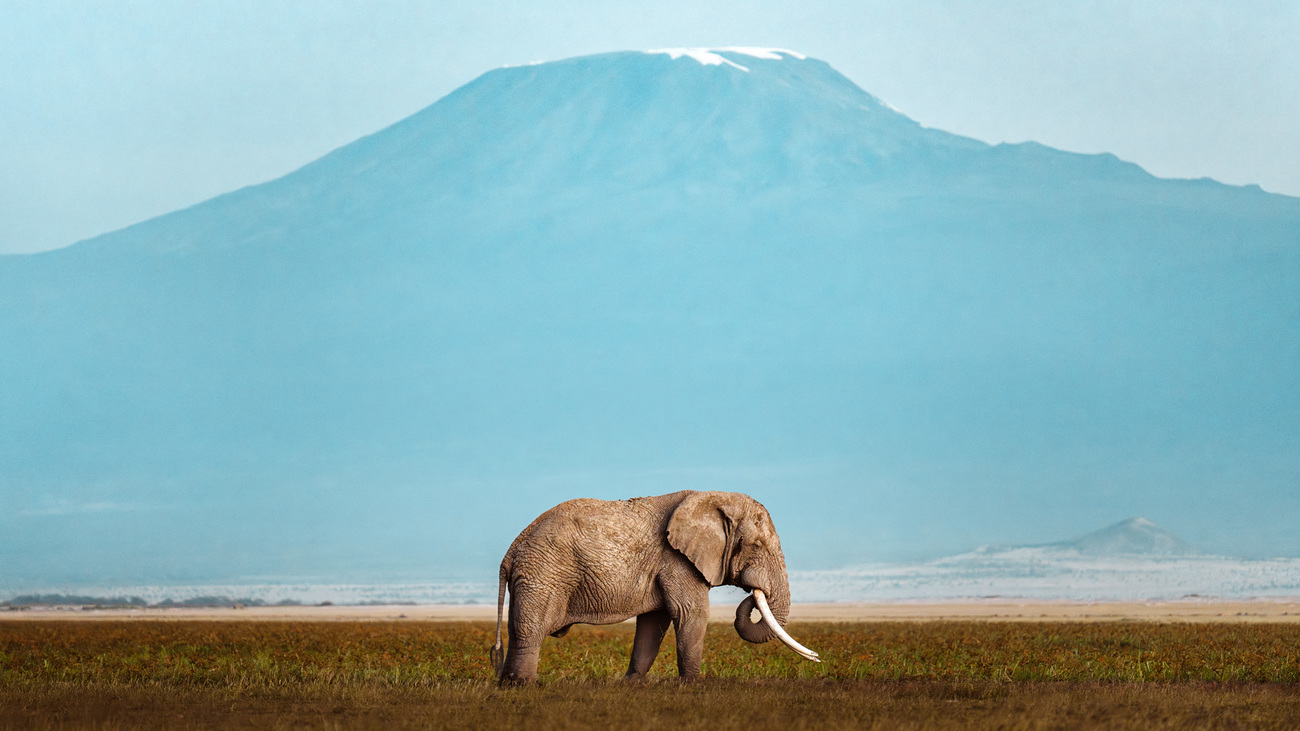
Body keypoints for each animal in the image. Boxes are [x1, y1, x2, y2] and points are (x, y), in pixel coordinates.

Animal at [491, 486, 816, 681]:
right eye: (757, 546)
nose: (752, 592)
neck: (711, 497)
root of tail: (511, 550)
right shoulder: (677, 561)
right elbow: (692, 614)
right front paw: (693, 686)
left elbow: (653, 622)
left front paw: (632, 684)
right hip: (544, 575)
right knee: (530, 631)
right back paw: (523, 686)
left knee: (517, 630)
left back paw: (507, 685)